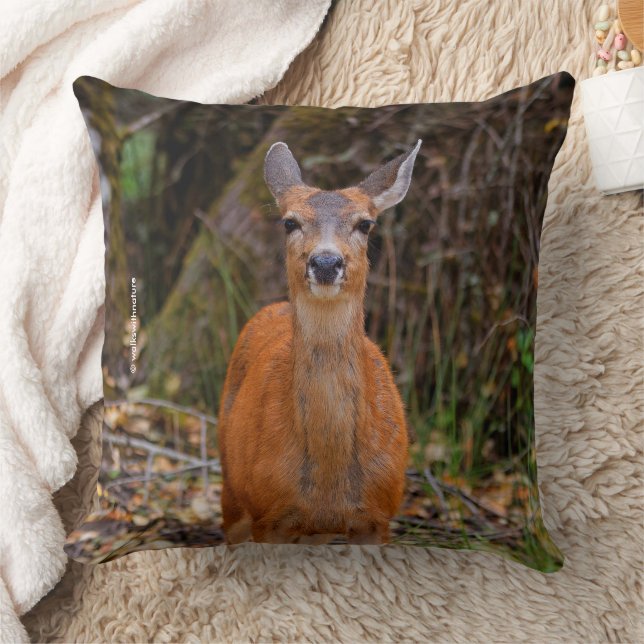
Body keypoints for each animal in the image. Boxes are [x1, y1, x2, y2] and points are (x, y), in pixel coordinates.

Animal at [217, 139, 422, 545]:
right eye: (290, 222)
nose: (326, 262)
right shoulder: (269, 516)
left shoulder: (379, 516)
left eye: (365, 223)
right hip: (231, 483)